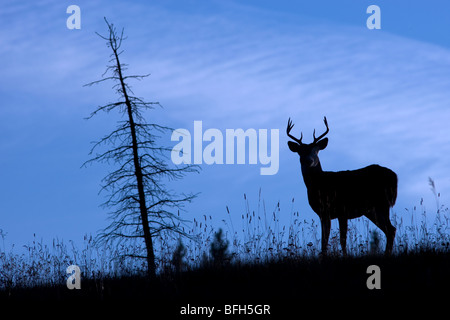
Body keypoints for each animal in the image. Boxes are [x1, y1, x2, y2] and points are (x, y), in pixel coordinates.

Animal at [288, 117, 398, 255]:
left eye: (316, 151)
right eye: (300, 152)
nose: (309, 161)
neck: (319, 185)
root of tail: (394, 176)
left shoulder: (341, 210)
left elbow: (342, 240)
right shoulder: (323, 214)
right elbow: (324, 241)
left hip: (382, 203)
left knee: (390, 229)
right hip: (373, 209)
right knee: (390, 229)